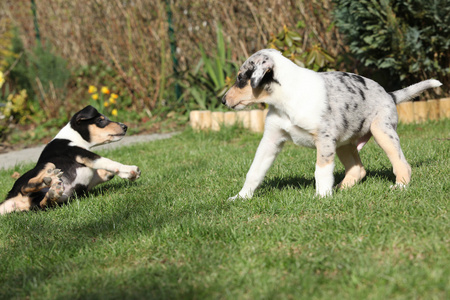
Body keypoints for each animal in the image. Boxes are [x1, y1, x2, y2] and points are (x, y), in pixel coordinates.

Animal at [0, 105, 141, 213]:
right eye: (101, 120)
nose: (125, 126)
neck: (74, 137)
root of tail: (10, 200)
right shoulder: (81, 153)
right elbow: (107, 161)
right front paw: (131, 170)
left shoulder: (97, 173)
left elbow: (108, 172)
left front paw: (129, 175)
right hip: (47, 165)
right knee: (25, 187)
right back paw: (48, 179)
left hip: (48, 202)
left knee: (44, 203)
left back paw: (53, 192)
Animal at [223, 48, 442, 199]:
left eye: (240, 78)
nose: (223, 100)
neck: (287, 98)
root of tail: (389, 94)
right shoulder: (271, 139)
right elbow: (254, 171)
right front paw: (241, 197)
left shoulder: (325, 139)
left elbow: (321, 170)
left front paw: (321, 197)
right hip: (345, 142)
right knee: (358, 169)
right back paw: (340, 189)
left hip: (382, 131)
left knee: (402, 163)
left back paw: (400, 186)